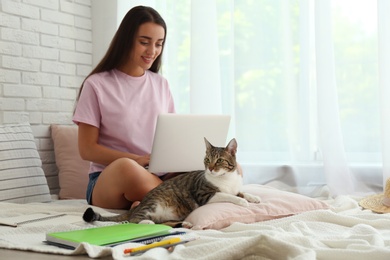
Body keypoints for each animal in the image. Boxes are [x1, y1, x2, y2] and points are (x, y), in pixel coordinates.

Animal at [82, 138, 258, 228]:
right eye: (207, 160)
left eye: (220, 160)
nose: (210, 168)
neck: (226, 178)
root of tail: (138, 205)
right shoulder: (204, 195)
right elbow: (227, 195)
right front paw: (242, 201)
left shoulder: (234, 187)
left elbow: (241, 192)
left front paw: (254, 197)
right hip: (153, 204)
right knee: (134, 219)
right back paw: (147, 222)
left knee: (164, 223)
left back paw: (184, 224)